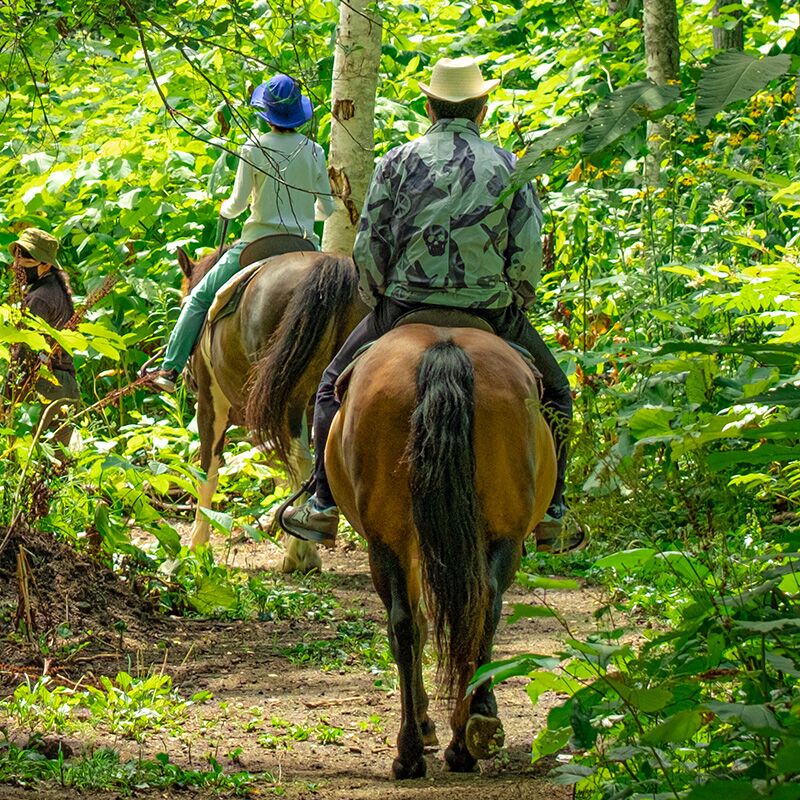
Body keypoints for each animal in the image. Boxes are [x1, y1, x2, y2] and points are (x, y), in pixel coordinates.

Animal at [174, 245, 366, 572]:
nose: (188, 378)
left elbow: (208, 469)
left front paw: (196, 547)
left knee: (301, 460)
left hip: (288, 396)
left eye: (184, 302)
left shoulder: (213, 404)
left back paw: (299, 555)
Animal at [324, 322, 557, 778]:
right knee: (478, 609)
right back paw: (470, 732)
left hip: (388, 540)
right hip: (499, 533)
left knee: (408, 624)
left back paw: (416, 750)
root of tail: (444, 347)